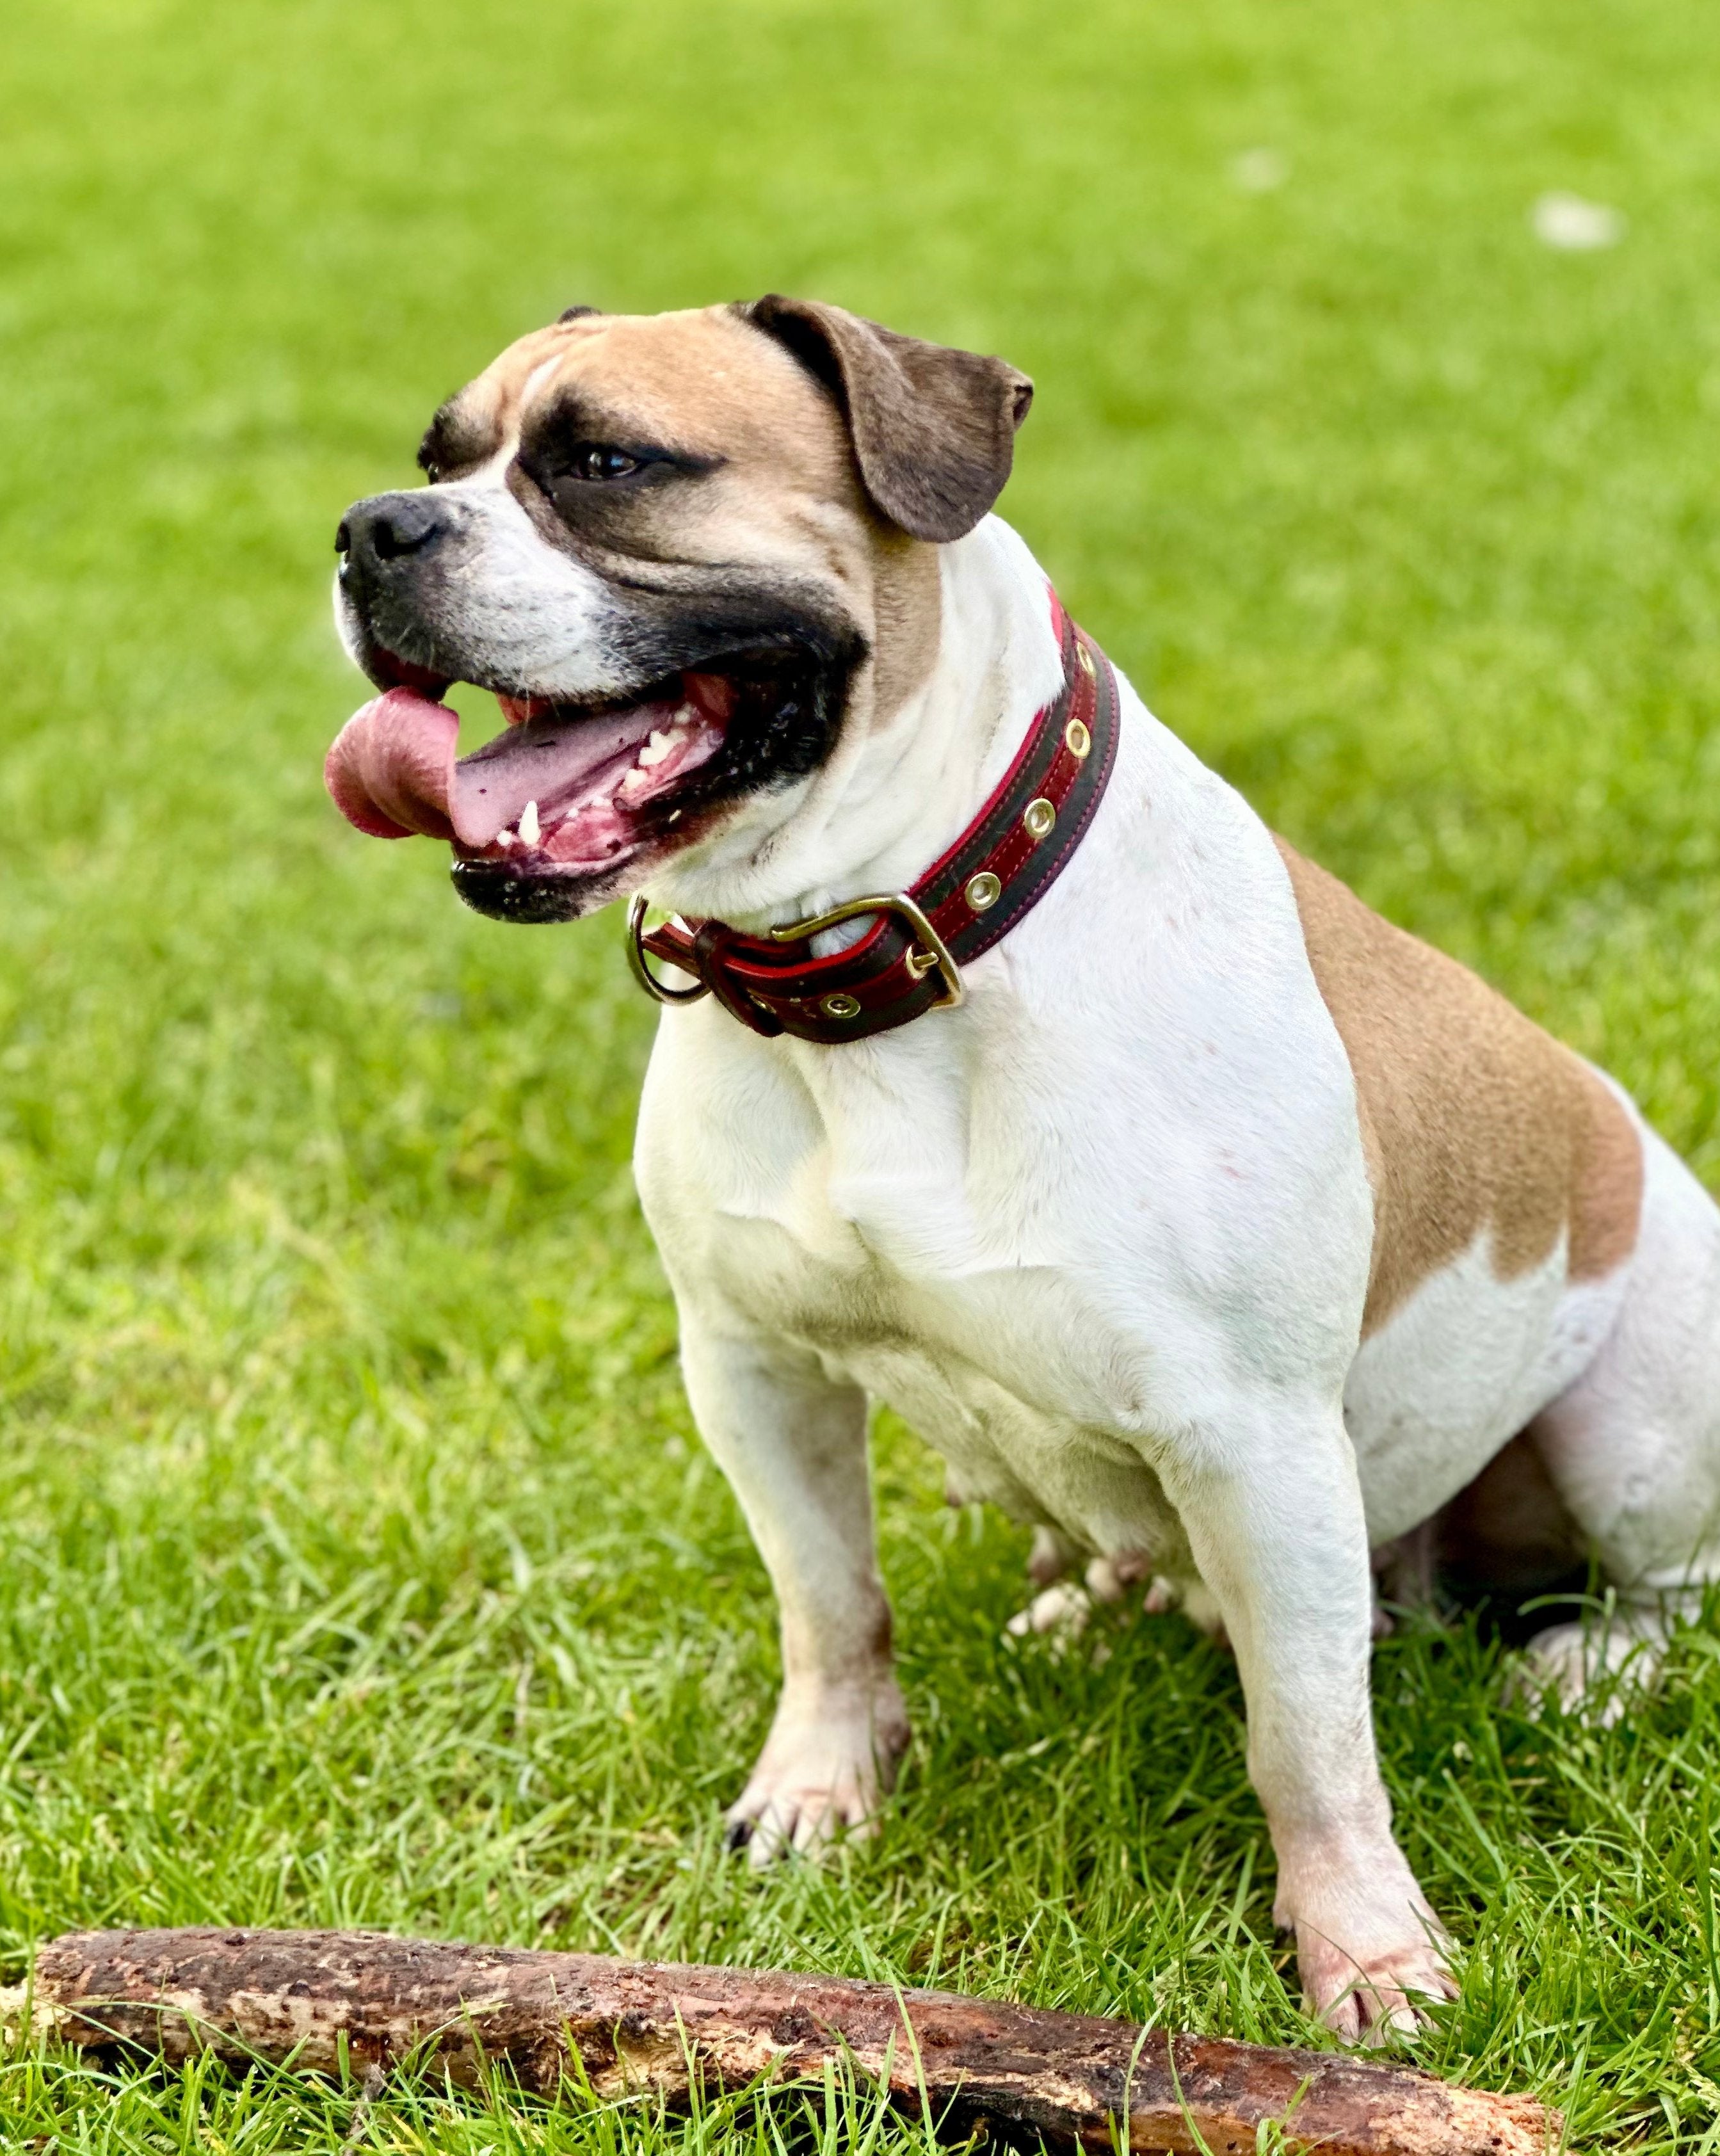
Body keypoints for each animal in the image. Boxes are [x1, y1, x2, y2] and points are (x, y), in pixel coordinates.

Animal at [323, 300, 1720, 2035]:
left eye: (609, 464)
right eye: (435, 457)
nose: (372, 529)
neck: (885, 956)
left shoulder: (1257, 1442)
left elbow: (1306, 1743)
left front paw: (1365, 1955)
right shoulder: (754, 1366)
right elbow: (828, 1606)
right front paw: (817, 1795)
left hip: (1633, 1419)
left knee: (1669, 1591)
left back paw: (1580, 1670)